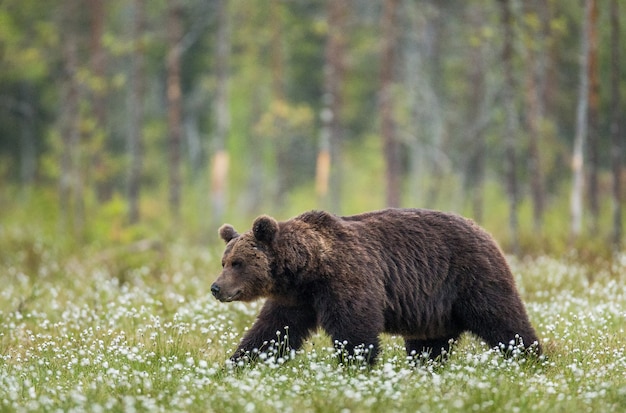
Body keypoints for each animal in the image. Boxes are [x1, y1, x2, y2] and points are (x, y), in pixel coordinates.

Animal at [208, 209, 536, 364]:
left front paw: (355, 366)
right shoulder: (295, 300)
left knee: (503, 320)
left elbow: (355, 328)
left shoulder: (348, 280)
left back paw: (531, 358)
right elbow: (272, 332)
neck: (308, 270)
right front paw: (238, 363)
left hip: (470, 278)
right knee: (429, 343)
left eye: (237, 263)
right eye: (224, 261)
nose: (216, 287)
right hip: (434, 309)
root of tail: (484, 231)